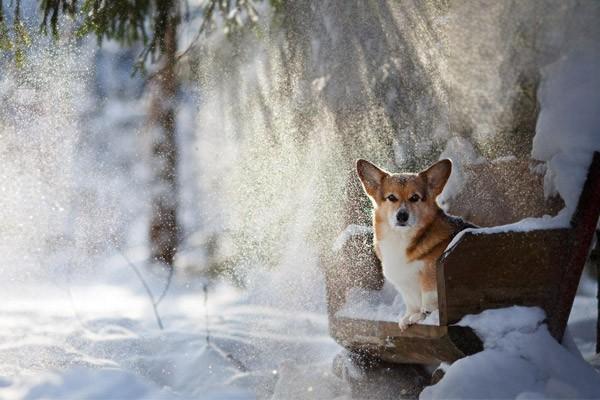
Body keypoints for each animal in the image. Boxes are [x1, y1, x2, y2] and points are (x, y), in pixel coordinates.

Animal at [356, 158, 474, 330]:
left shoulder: (431, 271)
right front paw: (410, 316)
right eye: (392, 197)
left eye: (415, 198)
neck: (401, 237)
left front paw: (424, 314)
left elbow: (429, 295)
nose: (402, 216)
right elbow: (411, 302)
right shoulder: (405, 285)